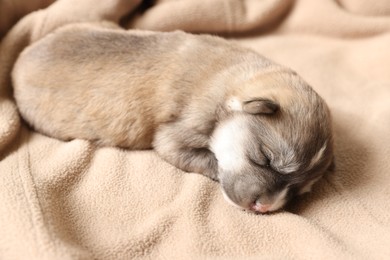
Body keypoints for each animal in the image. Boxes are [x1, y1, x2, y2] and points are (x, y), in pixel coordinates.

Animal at [13, 23, 334, 213]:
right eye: (264, 158)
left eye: (298, 190)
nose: (264, 207)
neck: (236, 81)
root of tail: (18, 61)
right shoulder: (176, 135)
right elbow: (201, 157)